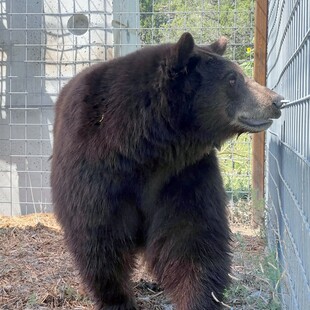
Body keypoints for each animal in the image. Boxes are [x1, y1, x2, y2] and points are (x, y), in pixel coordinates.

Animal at [50, 32, 284, 308]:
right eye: (232, 78)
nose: (276, 100)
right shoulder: (96, 172)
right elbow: (99, 238)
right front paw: (117, 299)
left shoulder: (182, 175)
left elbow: (191, 237)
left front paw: (198, 298)